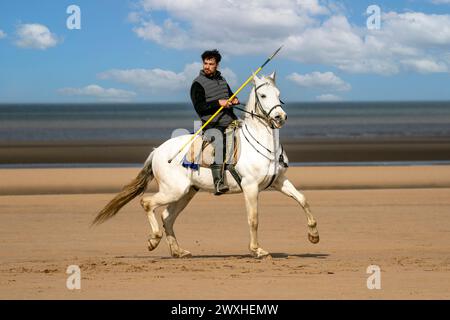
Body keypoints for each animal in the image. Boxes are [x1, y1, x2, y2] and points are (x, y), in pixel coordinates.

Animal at [93, 72, 320, 258]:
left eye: (278, 93)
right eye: (263, 96)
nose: (280, 117)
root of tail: (157, 151)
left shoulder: (279, 181)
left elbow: (303, 200)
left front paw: (314, 235)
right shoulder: (251, 187)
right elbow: (253, 219)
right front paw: (257, 250)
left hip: (186, 193)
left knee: (167, 216)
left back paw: (178, 251)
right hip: (174, 190)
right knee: (148, 203)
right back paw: (153, 240)